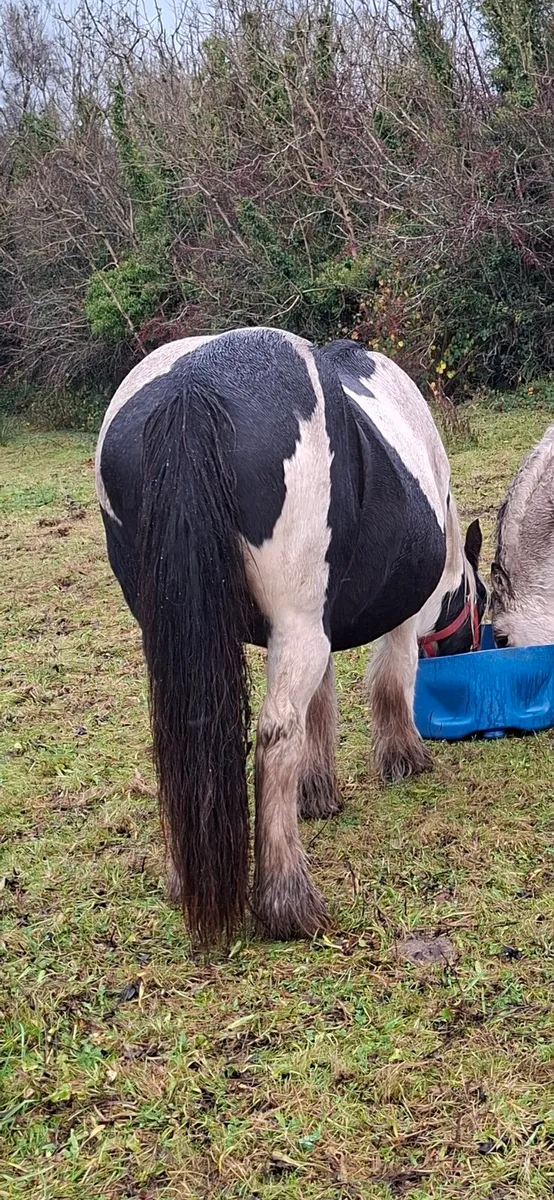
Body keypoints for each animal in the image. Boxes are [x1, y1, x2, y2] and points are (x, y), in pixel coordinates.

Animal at [95, 327, 486, 944]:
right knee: (275, 736)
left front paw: (318, 792)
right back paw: (287, 902)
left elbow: (320, 706)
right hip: (295, 628)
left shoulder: (320, 624)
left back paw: (185, 878)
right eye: (482, 602)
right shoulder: (387, 620)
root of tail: (191, 390)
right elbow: (389, 682)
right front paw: (404, 758)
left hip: (181, 639)